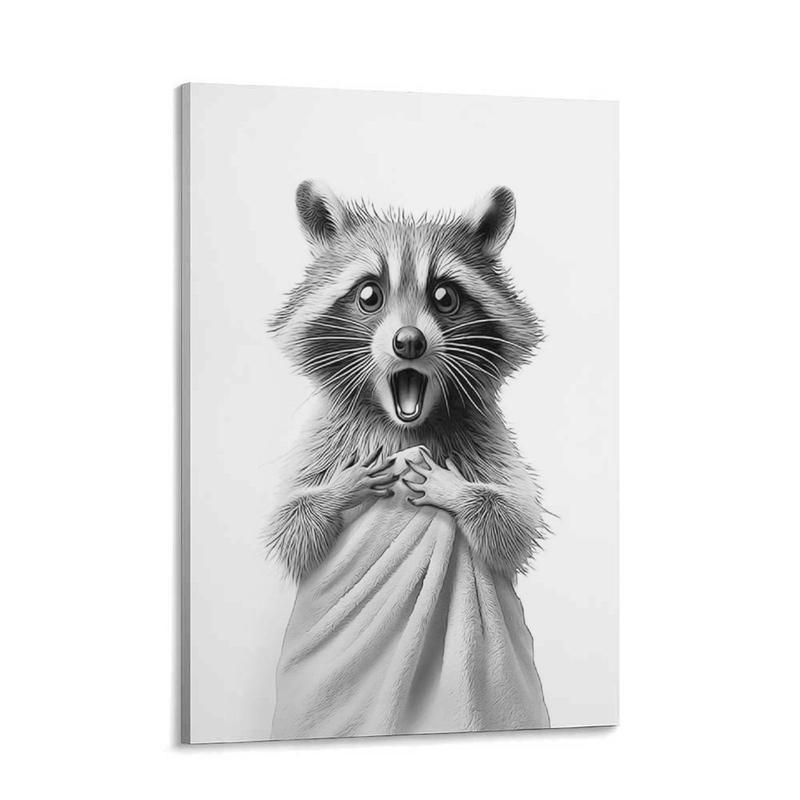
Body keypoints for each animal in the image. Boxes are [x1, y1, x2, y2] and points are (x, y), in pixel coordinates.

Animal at [266, 180, 549, 581]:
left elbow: (513, 526)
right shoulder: (323, 440)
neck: (403, 427)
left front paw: (457, 491)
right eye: (369, 295)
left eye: (445, 297)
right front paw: (341, 488)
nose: (410, 341)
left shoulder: (488, 440)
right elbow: (291, 530)